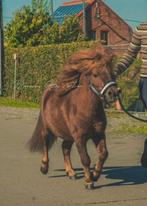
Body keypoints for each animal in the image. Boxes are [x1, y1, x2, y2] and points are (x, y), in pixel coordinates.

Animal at [27, 45, 119, 189]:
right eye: (95, 74)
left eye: (112, 73)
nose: (113, 93)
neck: (86, 109)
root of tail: (49, 89)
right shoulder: (80, 138)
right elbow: (85, 158)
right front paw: (89, 181)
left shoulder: (98, 134)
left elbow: (103, 154)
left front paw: (95, 174)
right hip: (47, 129)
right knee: (46, 144)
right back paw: (44, 167)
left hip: (68, 135)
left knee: (65, 148)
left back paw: (71, 172)